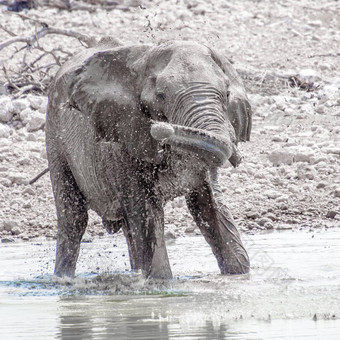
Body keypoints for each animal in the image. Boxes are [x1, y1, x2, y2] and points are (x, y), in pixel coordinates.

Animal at [45, 39, 252, 278]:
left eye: (227, 94)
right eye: (161, 97)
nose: (160, 128)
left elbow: (207, 207)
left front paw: (240, 274)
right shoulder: (122, 141)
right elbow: (146, 212)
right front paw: (159, 281)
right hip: (55, 137)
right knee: (73, 218)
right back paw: (62, 279)